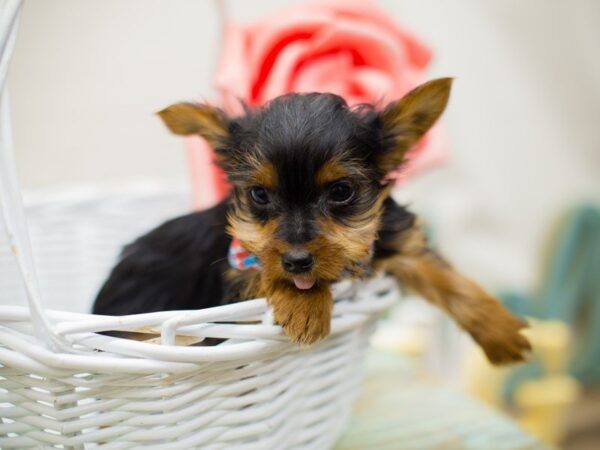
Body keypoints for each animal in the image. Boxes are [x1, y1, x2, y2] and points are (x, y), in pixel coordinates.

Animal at [94, 78, 528, 366]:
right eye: (260, 195)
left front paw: (501, 332)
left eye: (341, 191)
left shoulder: (392, 238)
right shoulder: (238, 264)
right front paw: (306, 307)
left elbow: (444, 276)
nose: (299, 260)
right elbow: (266, 270)